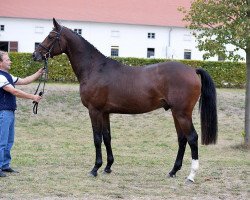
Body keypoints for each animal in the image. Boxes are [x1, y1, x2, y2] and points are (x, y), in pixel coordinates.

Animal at [32, 18, 217, 183]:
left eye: (51, 36)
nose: (35, 55)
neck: (95, 69)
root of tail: (192, 70)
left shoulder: (94, 111)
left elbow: (97, 138)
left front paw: (95, 168)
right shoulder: (105, 112)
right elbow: (107, 137)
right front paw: (107, 167)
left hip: (182, 113)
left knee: (192, 138)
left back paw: (191, 176)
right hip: (175, 113)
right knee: (182, 139)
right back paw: (173, 171)